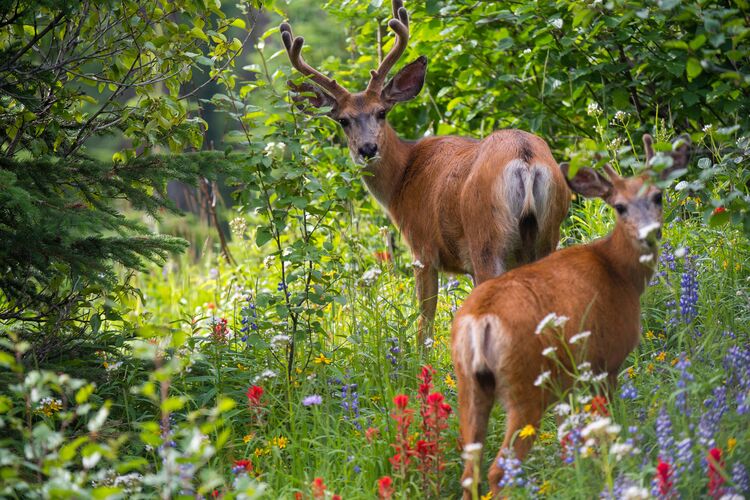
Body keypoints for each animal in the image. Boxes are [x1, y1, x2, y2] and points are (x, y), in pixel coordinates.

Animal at [280, 0, 568, 344]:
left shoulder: (423, 249)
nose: (367, 149)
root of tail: (525, 159)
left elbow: (424, 325)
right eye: (343, 120)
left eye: (381, 112)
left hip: (486, 239)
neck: (403, 176)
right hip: (547, 233)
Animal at [452, 135, 692, 498]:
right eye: (619, 206)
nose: (648, 233)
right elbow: (609, 425)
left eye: (657, 196)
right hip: (527, 385)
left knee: (470, 471)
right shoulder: (607, 360)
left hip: (469, 383)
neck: (618, 271)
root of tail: (481, 320)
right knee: (498, 469)